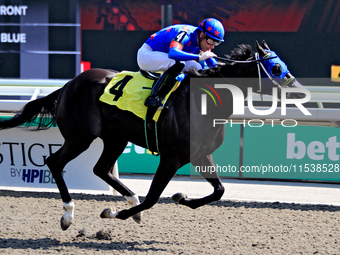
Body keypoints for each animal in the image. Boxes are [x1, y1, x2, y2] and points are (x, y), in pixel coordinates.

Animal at [0, 41, 304, 229]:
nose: (299, 91)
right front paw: (116, 213)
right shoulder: (171, 158)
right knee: (55, 162)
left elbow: (219, 191)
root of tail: (67, 86)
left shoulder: (200, 154)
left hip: (115, 137)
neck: (205, 100)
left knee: (101, 169)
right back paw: (68, 213)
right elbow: (153, 198)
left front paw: (181, 197)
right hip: (80, 136)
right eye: (276, 67)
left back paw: (128, 200)